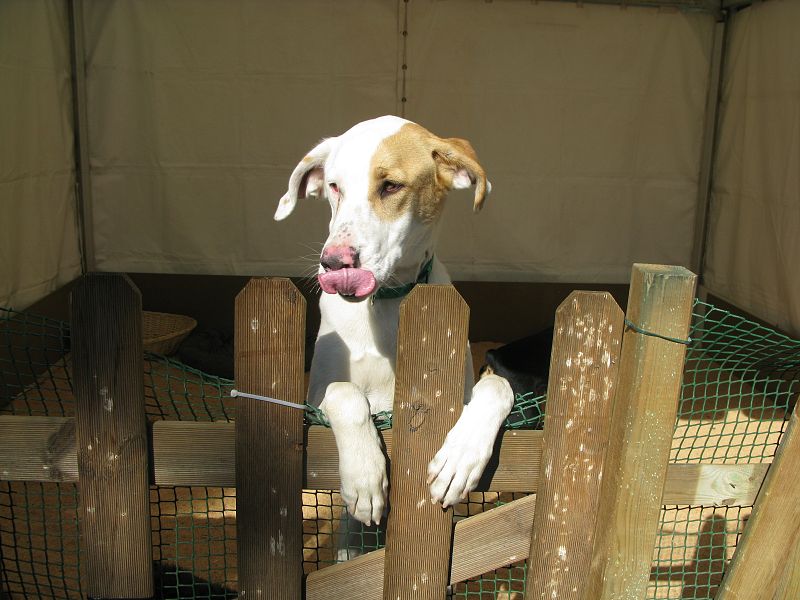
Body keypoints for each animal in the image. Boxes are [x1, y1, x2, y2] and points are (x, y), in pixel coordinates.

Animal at [274, 115, 512, 528]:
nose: (333, 263)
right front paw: (365, 475)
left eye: (391, 186)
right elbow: (344, 391)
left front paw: (459, 457)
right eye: (334, 186)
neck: (384, 306)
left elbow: (498, 386)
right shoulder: (312, 403)